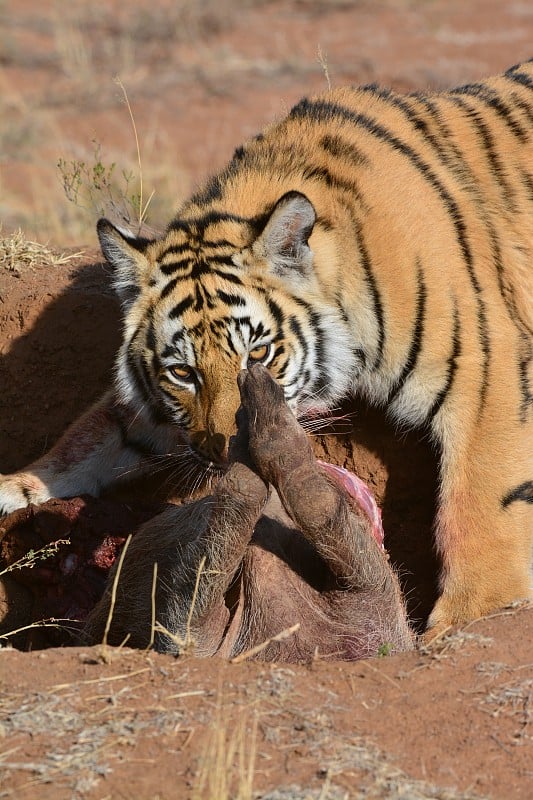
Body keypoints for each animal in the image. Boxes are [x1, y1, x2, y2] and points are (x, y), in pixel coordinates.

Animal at [1, 59, 532, 636]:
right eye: (183, 372)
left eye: (257, 355)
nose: (227, 450)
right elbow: (92, 438)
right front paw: (18, 486)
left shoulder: (486, 369)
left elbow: (483, 502)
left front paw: (473, 614)